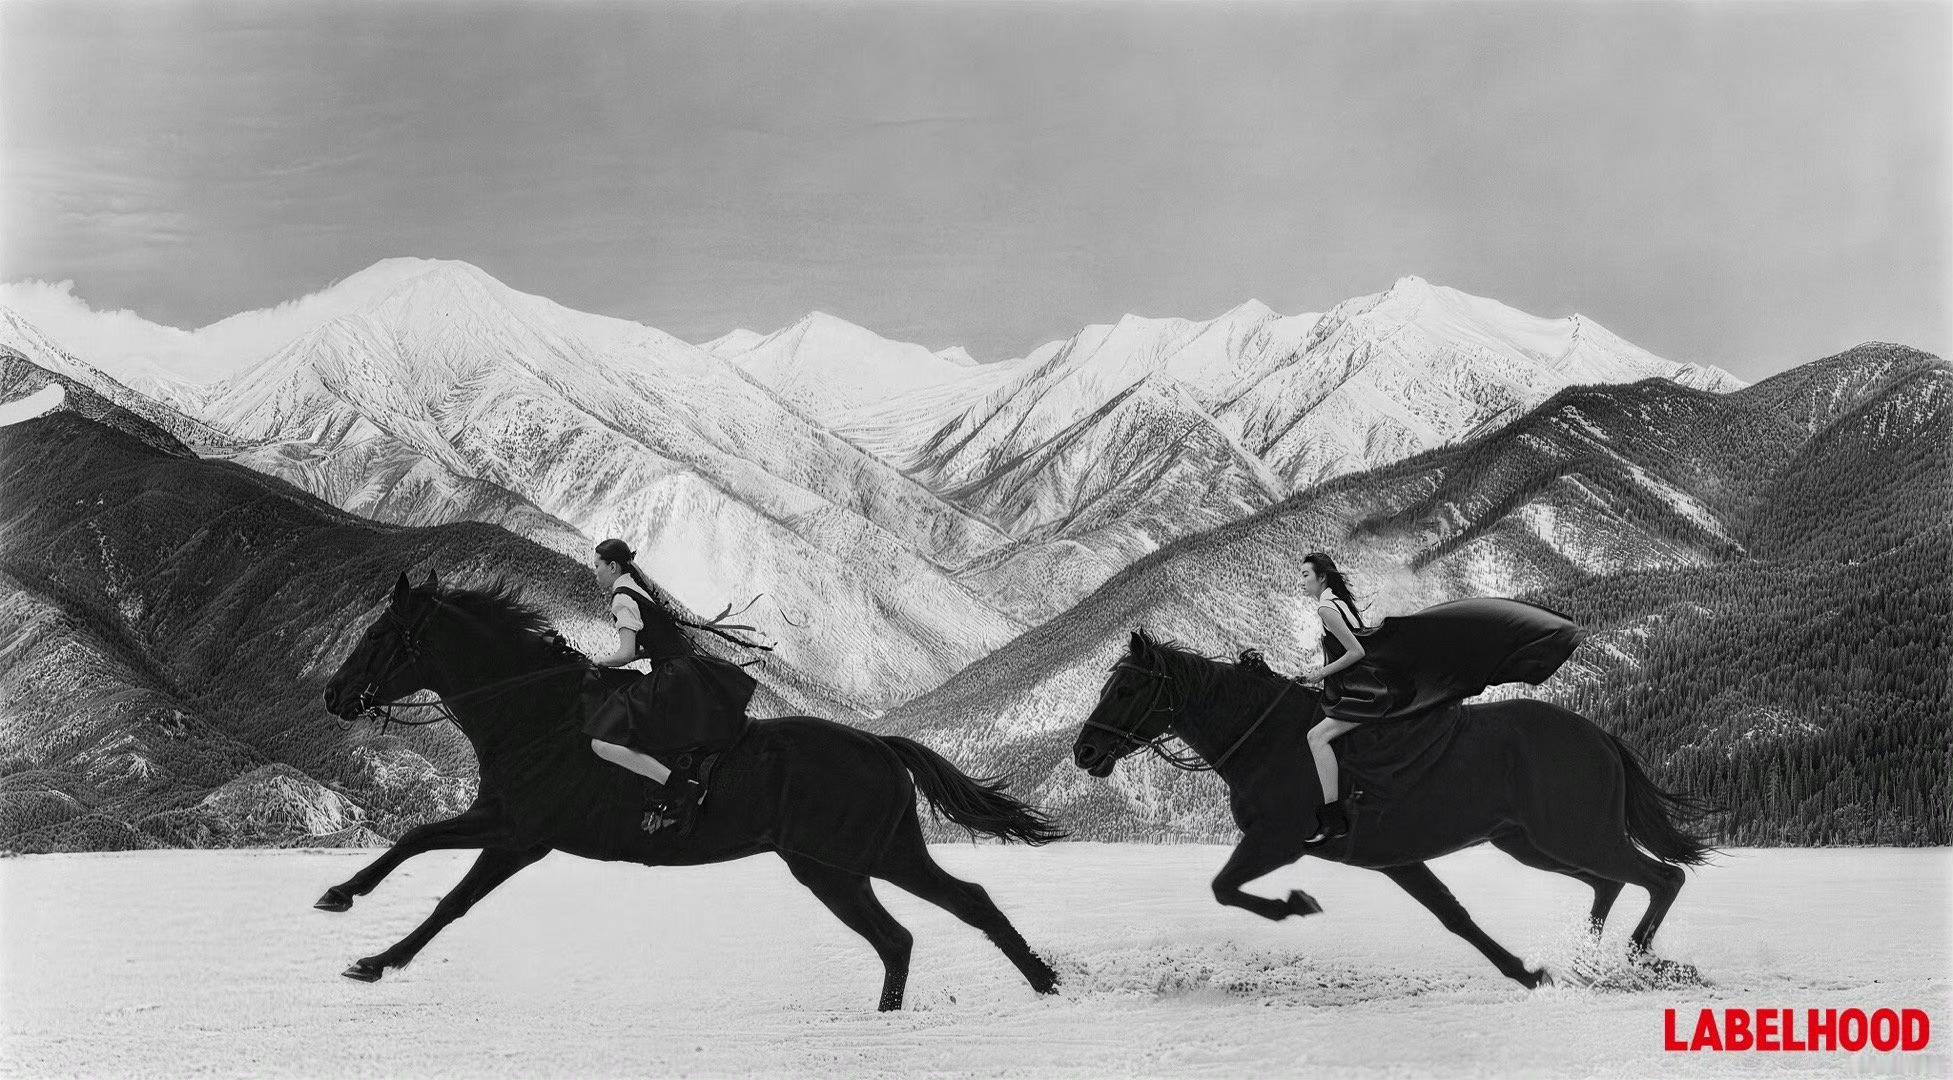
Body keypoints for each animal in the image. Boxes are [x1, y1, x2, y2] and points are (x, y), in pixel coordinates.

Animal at [318, 571, 1064, 1011]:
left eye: (380, 635)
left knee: (947, 912)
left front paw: (373, 956)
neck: (535, 713)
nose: (333, 696)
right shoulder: (496, 817)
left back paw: (1037, 983)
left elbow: (450, 898)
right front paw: (344, 901)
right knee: (914, 930)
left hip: (858, 859)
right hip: (846, 863)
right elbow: (416, 840)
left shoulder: (521, 836)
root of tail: (880, 746)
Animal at [1069, 630, 1716, 988]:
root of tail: (1598, 735)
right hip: (1531, 843)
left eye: (1125, 689)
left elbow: (1224, 888)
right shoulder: (1393, 858)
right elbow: (1455, 918)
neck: (1266, 740)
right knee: (1610, 884)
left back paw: (1641, 961)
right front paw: (1527, 973)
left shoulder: (1277, 840)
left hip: (1574, 834)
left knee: (1662, 877)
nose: (1085, 751)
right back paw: (1591, 962)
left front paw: (1294, 905)